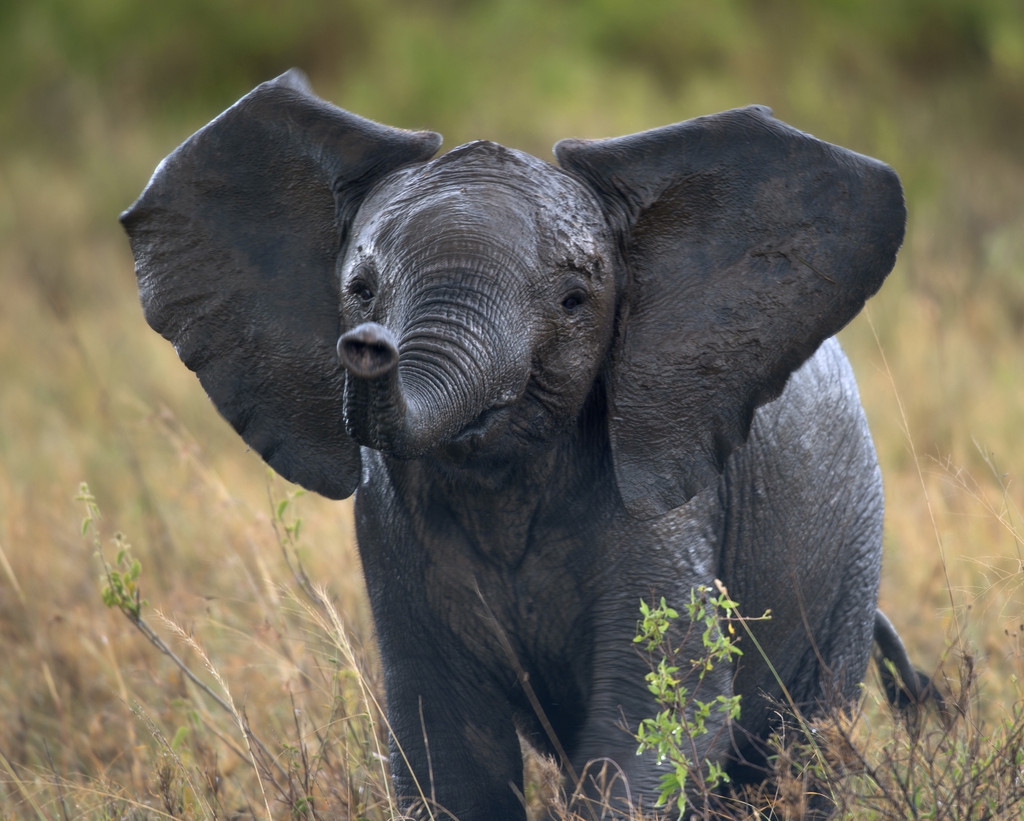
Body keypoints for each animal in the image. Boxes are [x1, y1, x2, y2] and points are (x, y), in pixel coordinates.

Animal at [121, 72, 921, 818]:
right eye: (359, 289)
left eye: (574, 302)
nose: (368, 344)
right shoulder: (389, 523)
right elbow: (445, 750)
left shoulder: (666, 502)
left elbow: (656, 726)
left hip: (850, 551)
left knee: (799, 751)